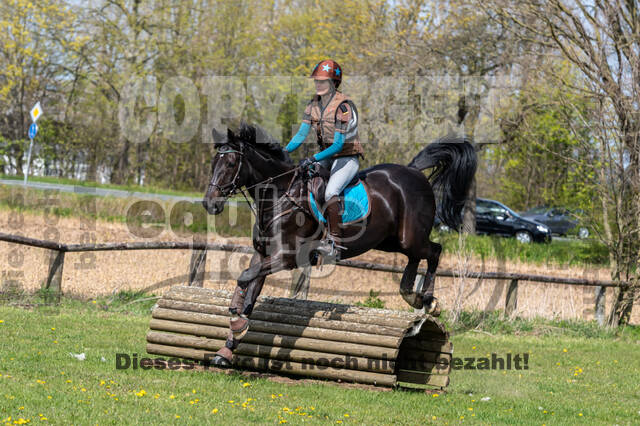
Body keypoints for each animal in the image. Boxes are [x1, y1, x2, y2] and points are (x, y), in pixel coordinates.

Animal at [201, 123, 476, 366]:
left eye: (230, 164)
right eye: (213, 164)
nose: (209, 204)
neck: (280, 196)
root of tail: (415, 172)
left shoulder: (285, 257)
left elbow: (245, 278)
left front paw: (236, 320)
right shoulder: (262, 255)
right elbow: (250, 286)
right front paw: (228, 346)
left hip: (410, 238)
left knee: (434, 251)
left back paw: (429, 301)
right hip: (390, 242)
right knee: (415, 259)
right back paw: (412, 295)